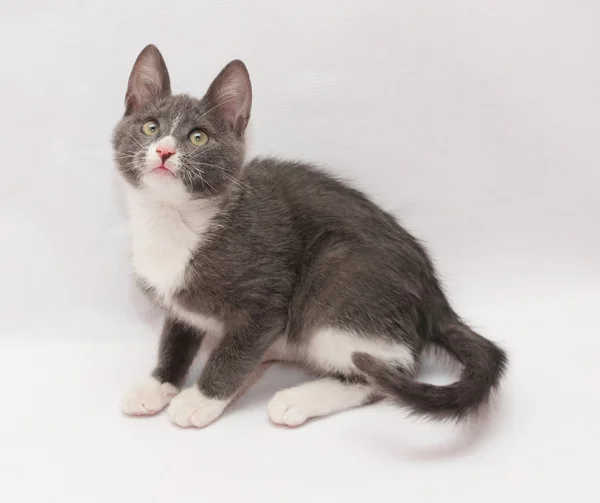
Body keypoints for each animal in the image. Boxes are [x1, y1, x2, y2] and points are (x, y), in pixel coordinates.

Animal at [112, 45, 506, 430]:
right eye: (150, 127)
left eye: (198, 137)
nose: (164, 150)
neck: (173, 219)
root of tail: (434, 295)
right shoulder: (177, 302)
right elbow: (174, 338)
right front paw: (158, 384)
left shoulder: (267, 296)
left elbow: (236, 351)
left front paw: (201, 399)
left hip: (335, 275)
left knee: (387, 371)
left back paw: (298, 399)